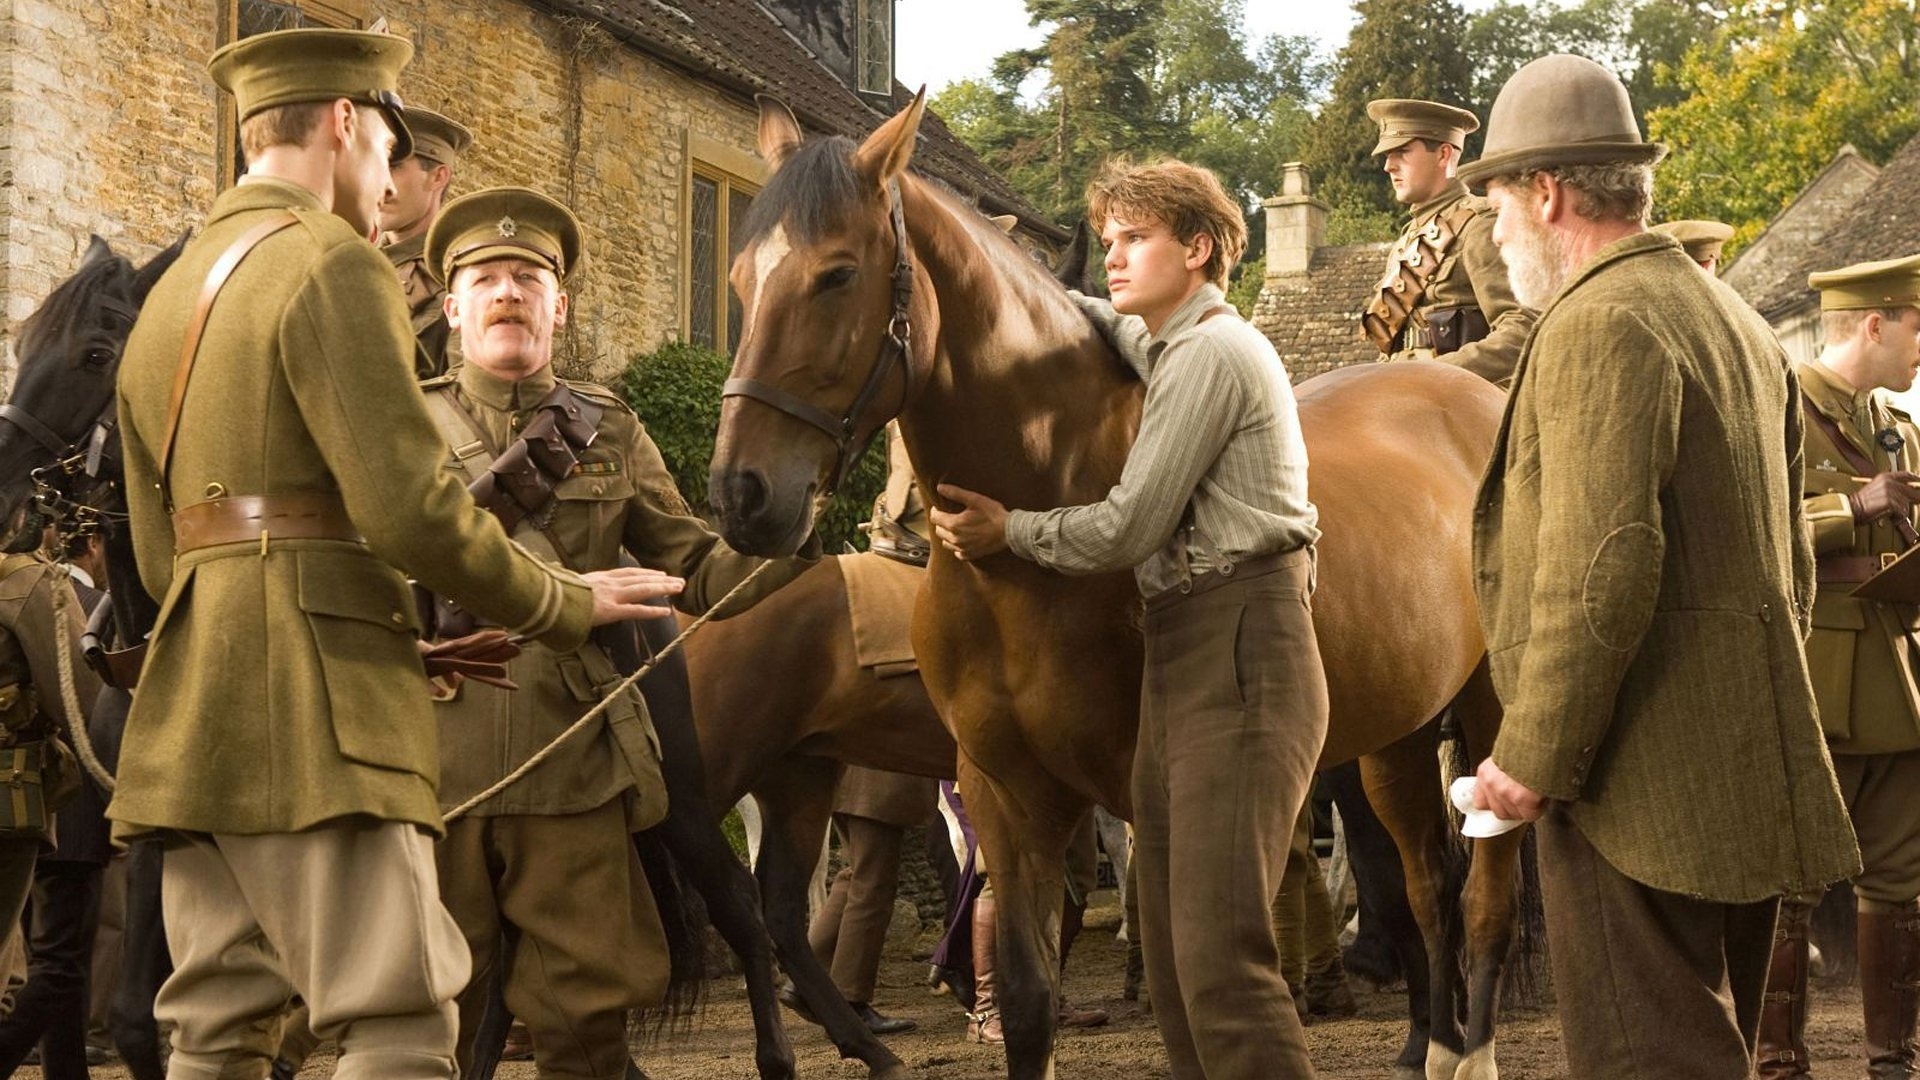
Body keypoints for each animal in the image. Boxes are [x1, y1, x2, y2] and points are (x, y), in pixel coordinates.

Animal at [710, 94, 1528, 1076]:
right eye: (739, 279)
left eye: (836, 274)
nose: (744, 494)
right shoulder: (1005, 795)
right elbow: (1030, 999)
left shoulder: (1151, 800)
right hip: (1396, 736)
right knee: (1426, 882)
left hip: (1485, 718)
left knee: (1481, 901)